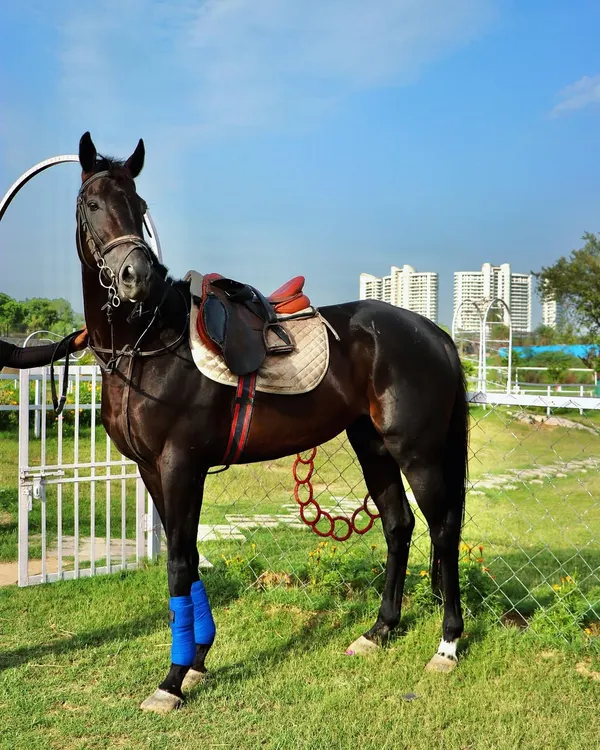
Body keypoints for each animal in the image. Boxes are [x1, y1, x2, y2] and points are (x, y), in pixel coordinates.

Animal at [74, 132, 468, 714]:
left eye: (139, 206)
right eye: (93, 203)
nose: (136, 278)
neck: (148, 345)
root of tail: (434, 333)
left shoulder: (181, 464)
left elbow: (178, 564)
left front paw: (172, 679)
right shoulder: (152, 470)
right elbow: (189, 557)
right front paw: (197, 660)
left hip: (415, 451)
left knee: (443, 529)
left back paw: (447, 644)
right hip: (373, 446)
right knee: (399, 526)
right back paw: (379, 631)